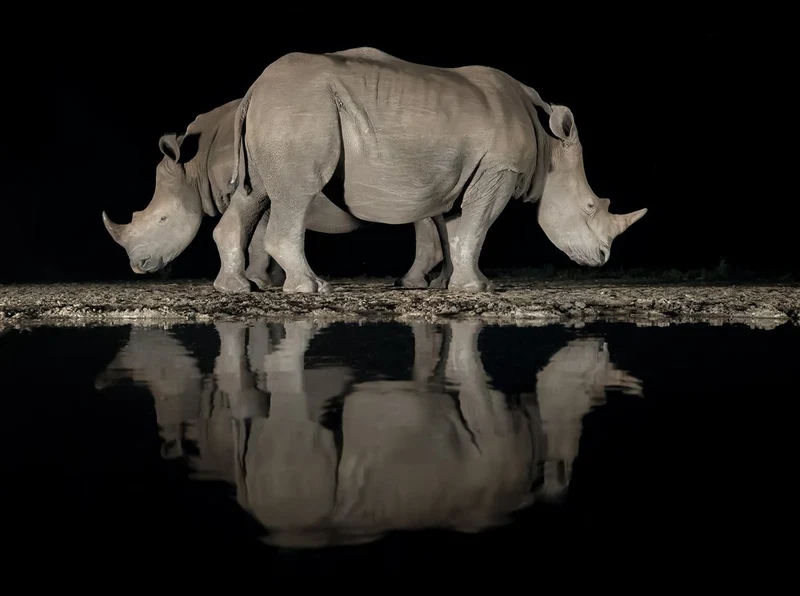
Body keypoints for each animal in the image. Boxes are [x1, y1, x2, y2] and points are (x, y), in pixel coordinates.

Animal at [100, 98, 453, 292]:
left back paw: (413, 282)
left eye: (162, 219)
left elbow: (256, 236)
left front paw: (258, 280)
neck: (194, 166)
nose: (138, 266)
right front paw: (271, 280)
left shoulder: (252, 188)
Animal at [228, 47, 647, 293]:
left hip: (282, 110)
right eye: (591, 206)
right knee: (297, 192)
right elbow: (476, 228)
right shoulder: (500, 169)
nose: (602, 258)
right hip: (302, 108)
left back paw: (237, 288)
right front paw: (476, 290)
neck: (548, 151)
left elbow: (458, 231)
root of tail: (254, 88)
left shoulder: (465, 172)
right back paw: (310, 288)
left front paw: (457, 284)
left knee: (256, 194)